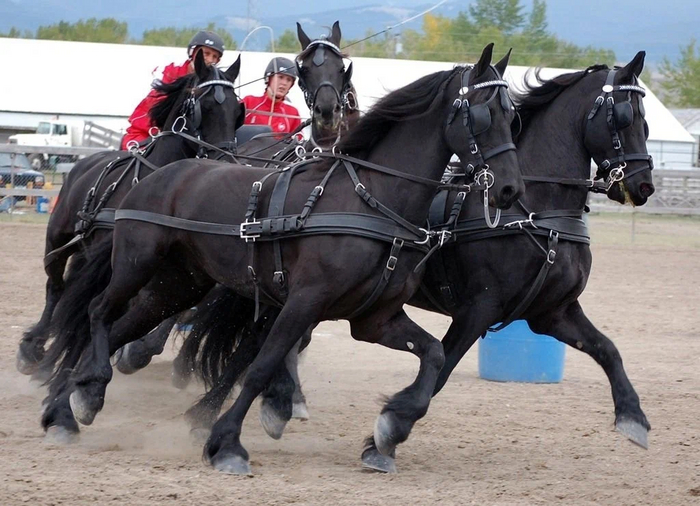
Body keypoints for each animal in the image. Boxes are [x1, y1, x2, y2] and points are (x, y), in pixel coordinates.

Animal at [16, 50, 243, 380]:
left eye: (238, 110)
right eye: (206, 106)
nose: (225, 163)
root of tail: (86, 162)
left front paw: (126, 352)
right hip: (58, 237)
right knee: (55, 286)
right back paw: (33, 348)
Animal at [42, 43, 524, 474]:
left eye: (512, 116)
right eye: (483, 114)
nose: (510, 189)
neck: (372, 199)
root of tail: (160, 173)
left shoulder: (374, 319)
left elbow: (434, 355)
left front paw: (389, 430)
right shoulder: (303, 303)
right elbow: (260, 367)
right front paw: (226, 444)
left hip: (177, 285)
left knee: (119, 328)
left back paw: (66, 406)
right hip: (136, 263)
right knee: (97, 312)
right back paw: (82, 395)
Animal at [164, 51, 656, 474]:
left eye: (646, 120)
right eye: (624, 116)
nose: (643, 184)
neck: (535, 208)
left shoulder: (552, 313)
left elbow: (608, 350)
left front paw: (633, 417)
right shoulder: (478, 309)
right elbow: (440, 372)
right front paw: (385, 434)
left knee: (259, 342)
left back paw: (246, 408)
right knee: (256, 343)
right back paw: (225, 411)